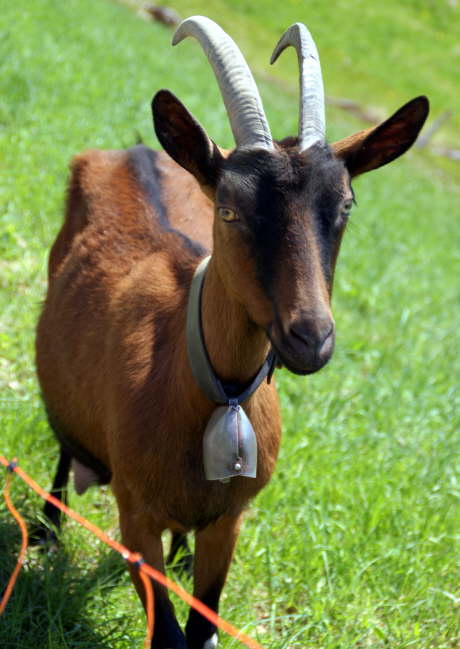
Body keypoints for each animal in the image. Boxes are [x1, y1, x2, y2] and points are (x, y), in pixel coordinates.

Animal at [35, 16, 428, 649]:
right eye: (229, 209)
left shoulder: (232, 519)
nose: (311, 337)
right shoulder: (134, 514)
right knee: (64, 443)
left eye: (345, 206)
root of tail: (136, 149)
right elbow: (169, 634)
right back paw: (47, 529)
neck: (213, 390)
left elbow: (203, 626)